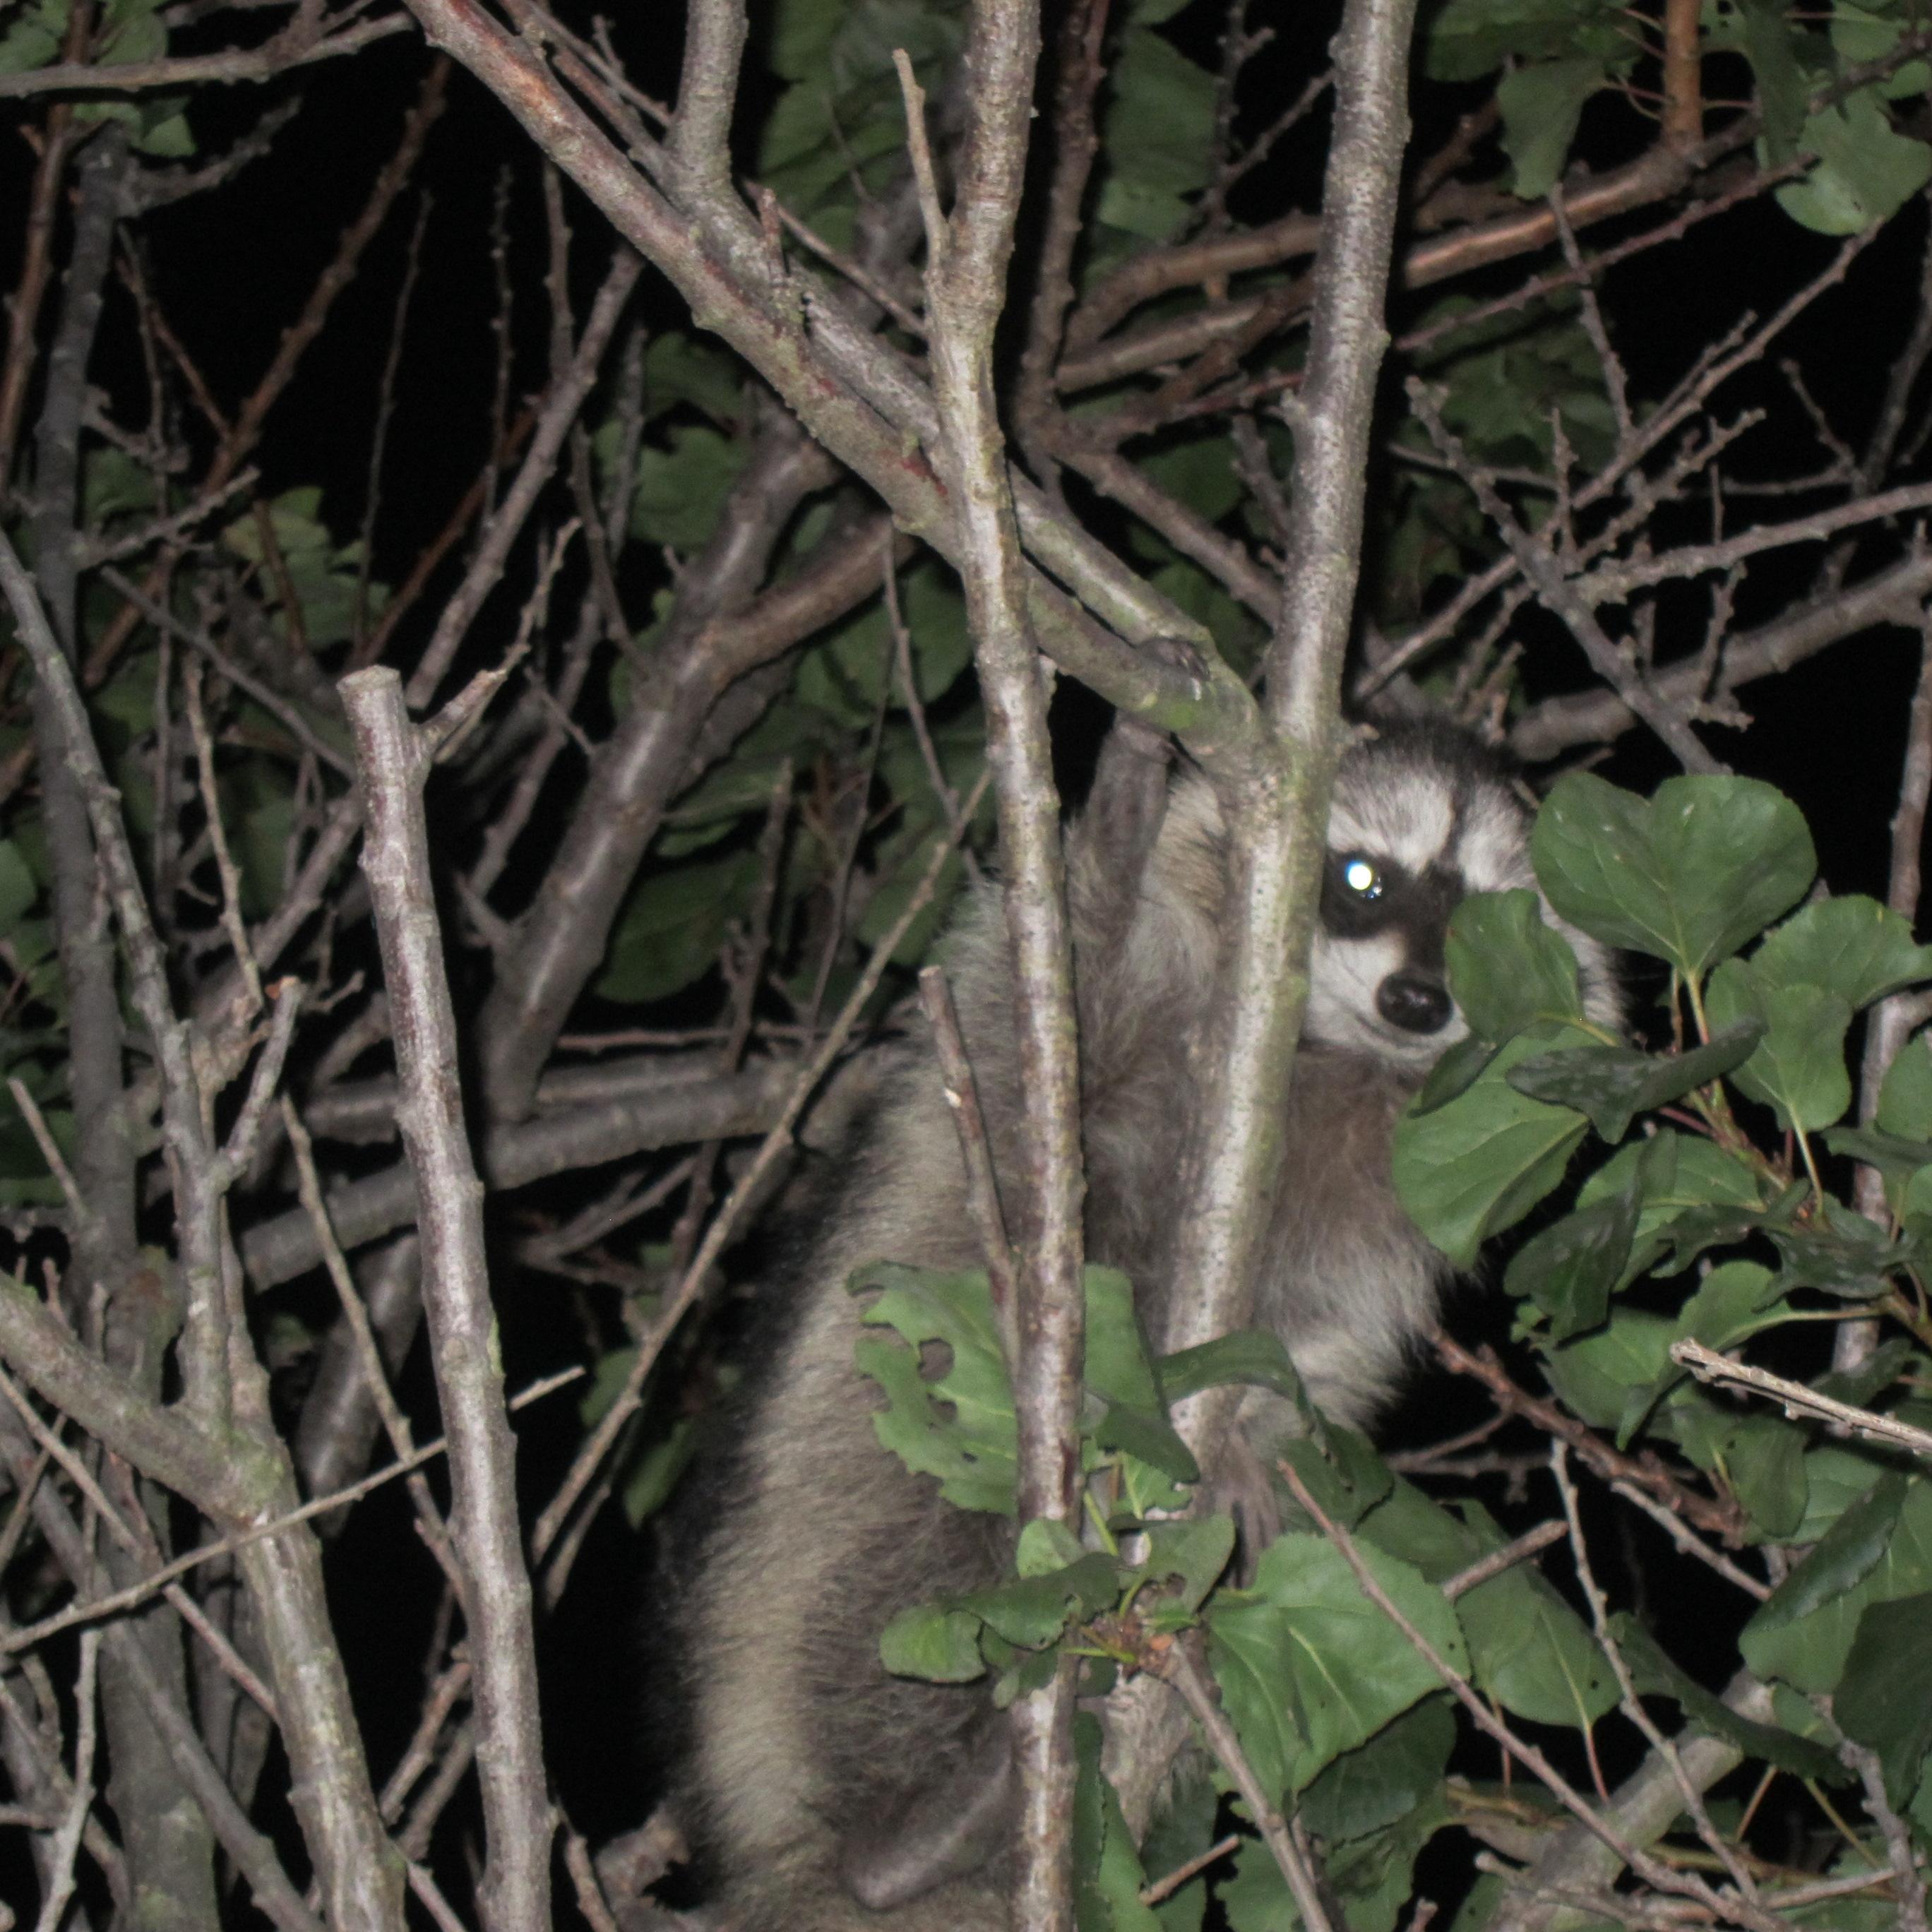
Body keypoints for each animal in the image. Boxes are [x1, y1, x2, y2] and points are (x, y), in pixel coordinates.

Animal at [657, 718, 1623, 1932]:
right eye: (1364, 879)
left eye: (1494, 920)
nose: (1415, 1000)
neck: (1329, 1050)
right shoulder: (1041, 1058)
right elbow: (1046, 1063)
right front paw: (1115, 832)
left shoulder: (1406, 1193)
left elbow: (1312, 1341)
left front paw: (1251, 1436)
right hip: (811, 1517)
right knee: (881, 1577)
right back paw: (897, 1835)